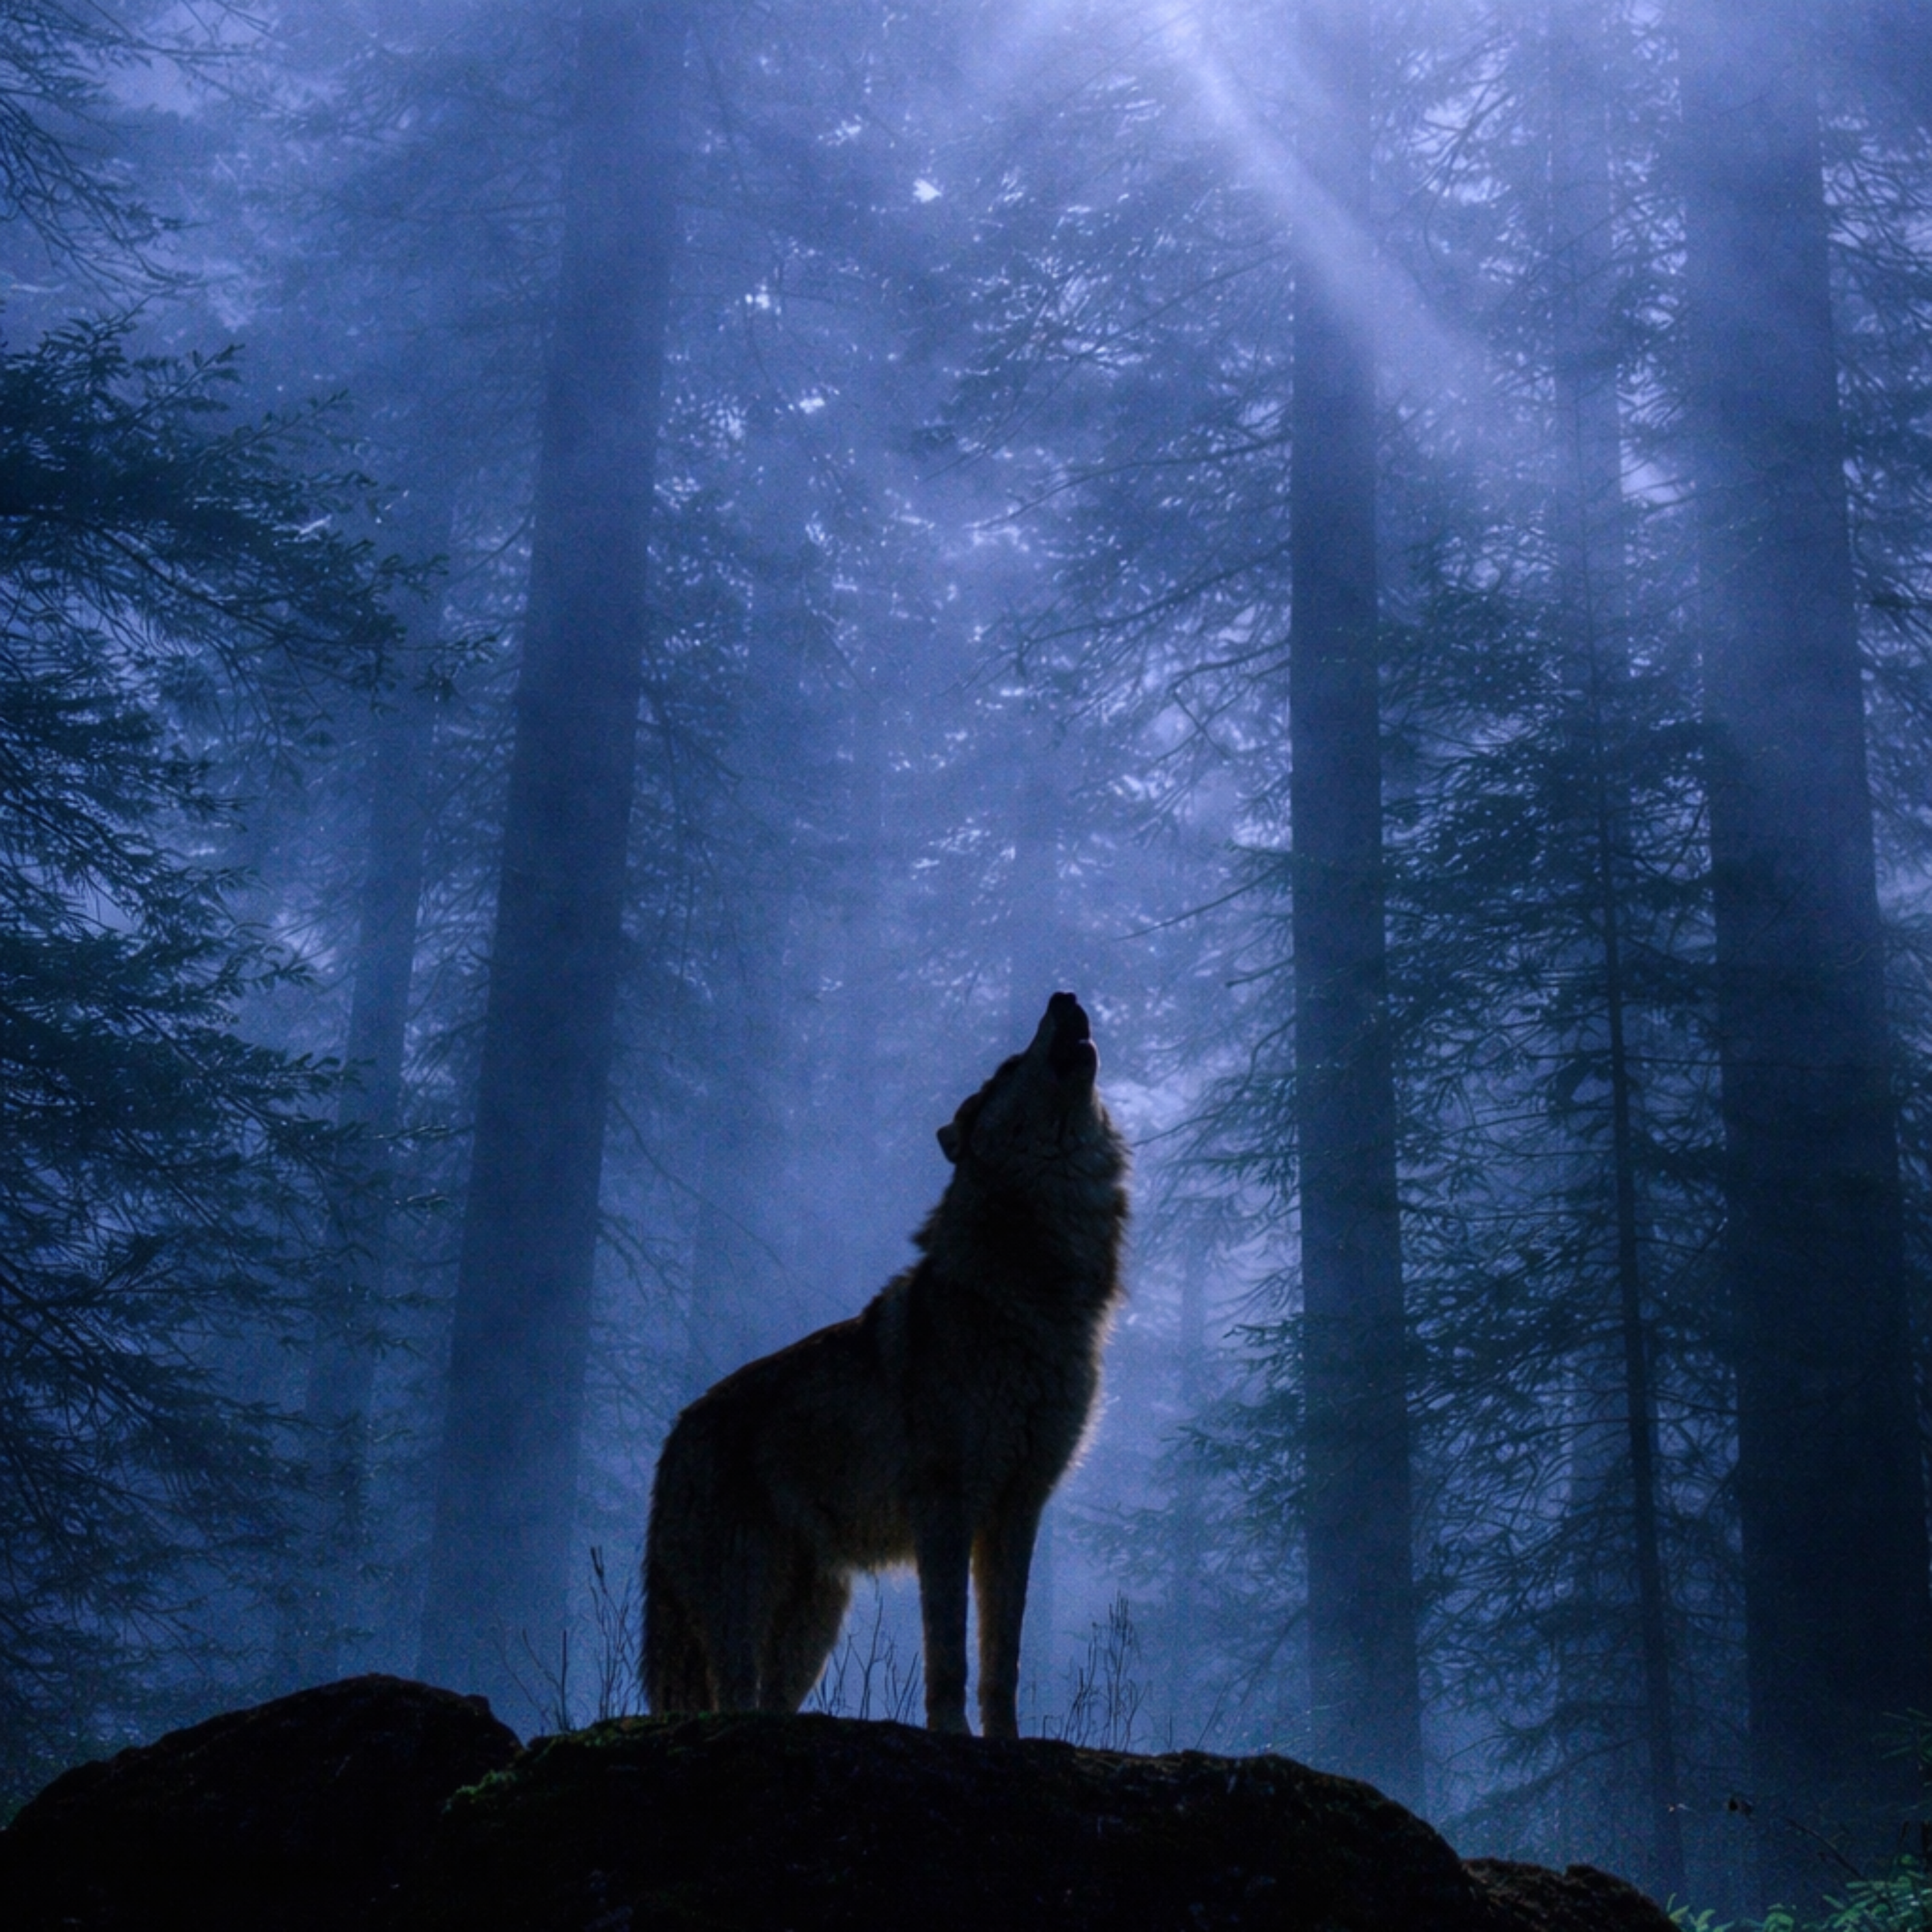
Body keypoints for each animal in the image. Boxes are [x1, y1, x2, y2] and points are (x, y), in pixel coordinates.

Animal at [643, 991, 1129, 1737]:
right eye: (1007, 1067)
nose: (1064, 996)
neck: (1032, 1290)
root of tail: (674, 1435)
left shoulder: (1018, 1508)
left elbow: (1004, 1659)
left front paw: (1008, 1742)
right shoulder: (946, 1507)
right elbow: (949, 1651)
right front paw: (952, 1734)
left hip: (813, 1621)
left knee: (768, 1694)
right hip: (742, 1597)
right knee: (732, 1692)